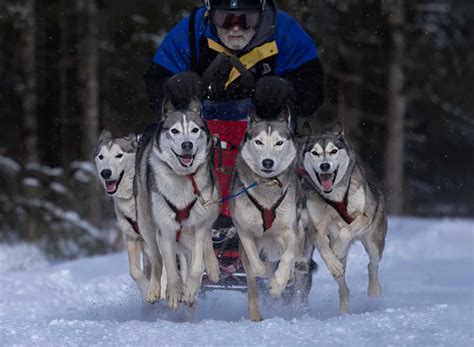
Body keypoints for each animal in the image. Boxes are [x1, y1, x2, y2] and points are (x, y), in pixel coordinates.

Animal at [93, 132, 162, 304]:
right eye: (101, 156)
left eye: (119, 155)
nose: (105, 173)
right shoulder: (131, 237)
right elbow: (135, 271)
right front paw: (147, 291)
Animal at [134, 97, 219, 310]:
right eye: (175, 131)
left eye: (195, 130)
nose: (187, 144)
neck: (183, 177)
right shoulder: (165, 230)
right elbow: (171, 269)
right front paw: (174, 292)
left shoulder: (198, 225)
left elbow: (197, 264)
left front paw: (190, 289)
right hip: (146, 224)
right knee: (157, 261)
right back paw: (155, 289)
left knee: (206, 239)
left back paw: (212, 268)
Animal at [231, 107, 312, 322]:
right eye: (258, 142)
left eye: (279, 142)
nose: (268, 162)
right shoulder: (244, 230)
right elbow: (257, 266)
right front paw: (268, 278)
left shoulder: (290, 229)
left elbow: (288, 256)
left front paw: (278, 284)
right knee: (254, 282)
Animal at [302, 125, 386, 316]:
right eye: (315, 153)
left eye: (333, 151)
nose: (325, 166)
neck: (335, 196)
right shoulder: (316, 227)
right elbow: (323, 246)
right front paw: (333, 260)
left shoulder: (363, 217)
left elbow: (346, 231)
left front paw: (338, 248)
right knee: (343, 285)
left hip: (373, 241)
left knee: (373, 264)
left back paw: (374, 289)